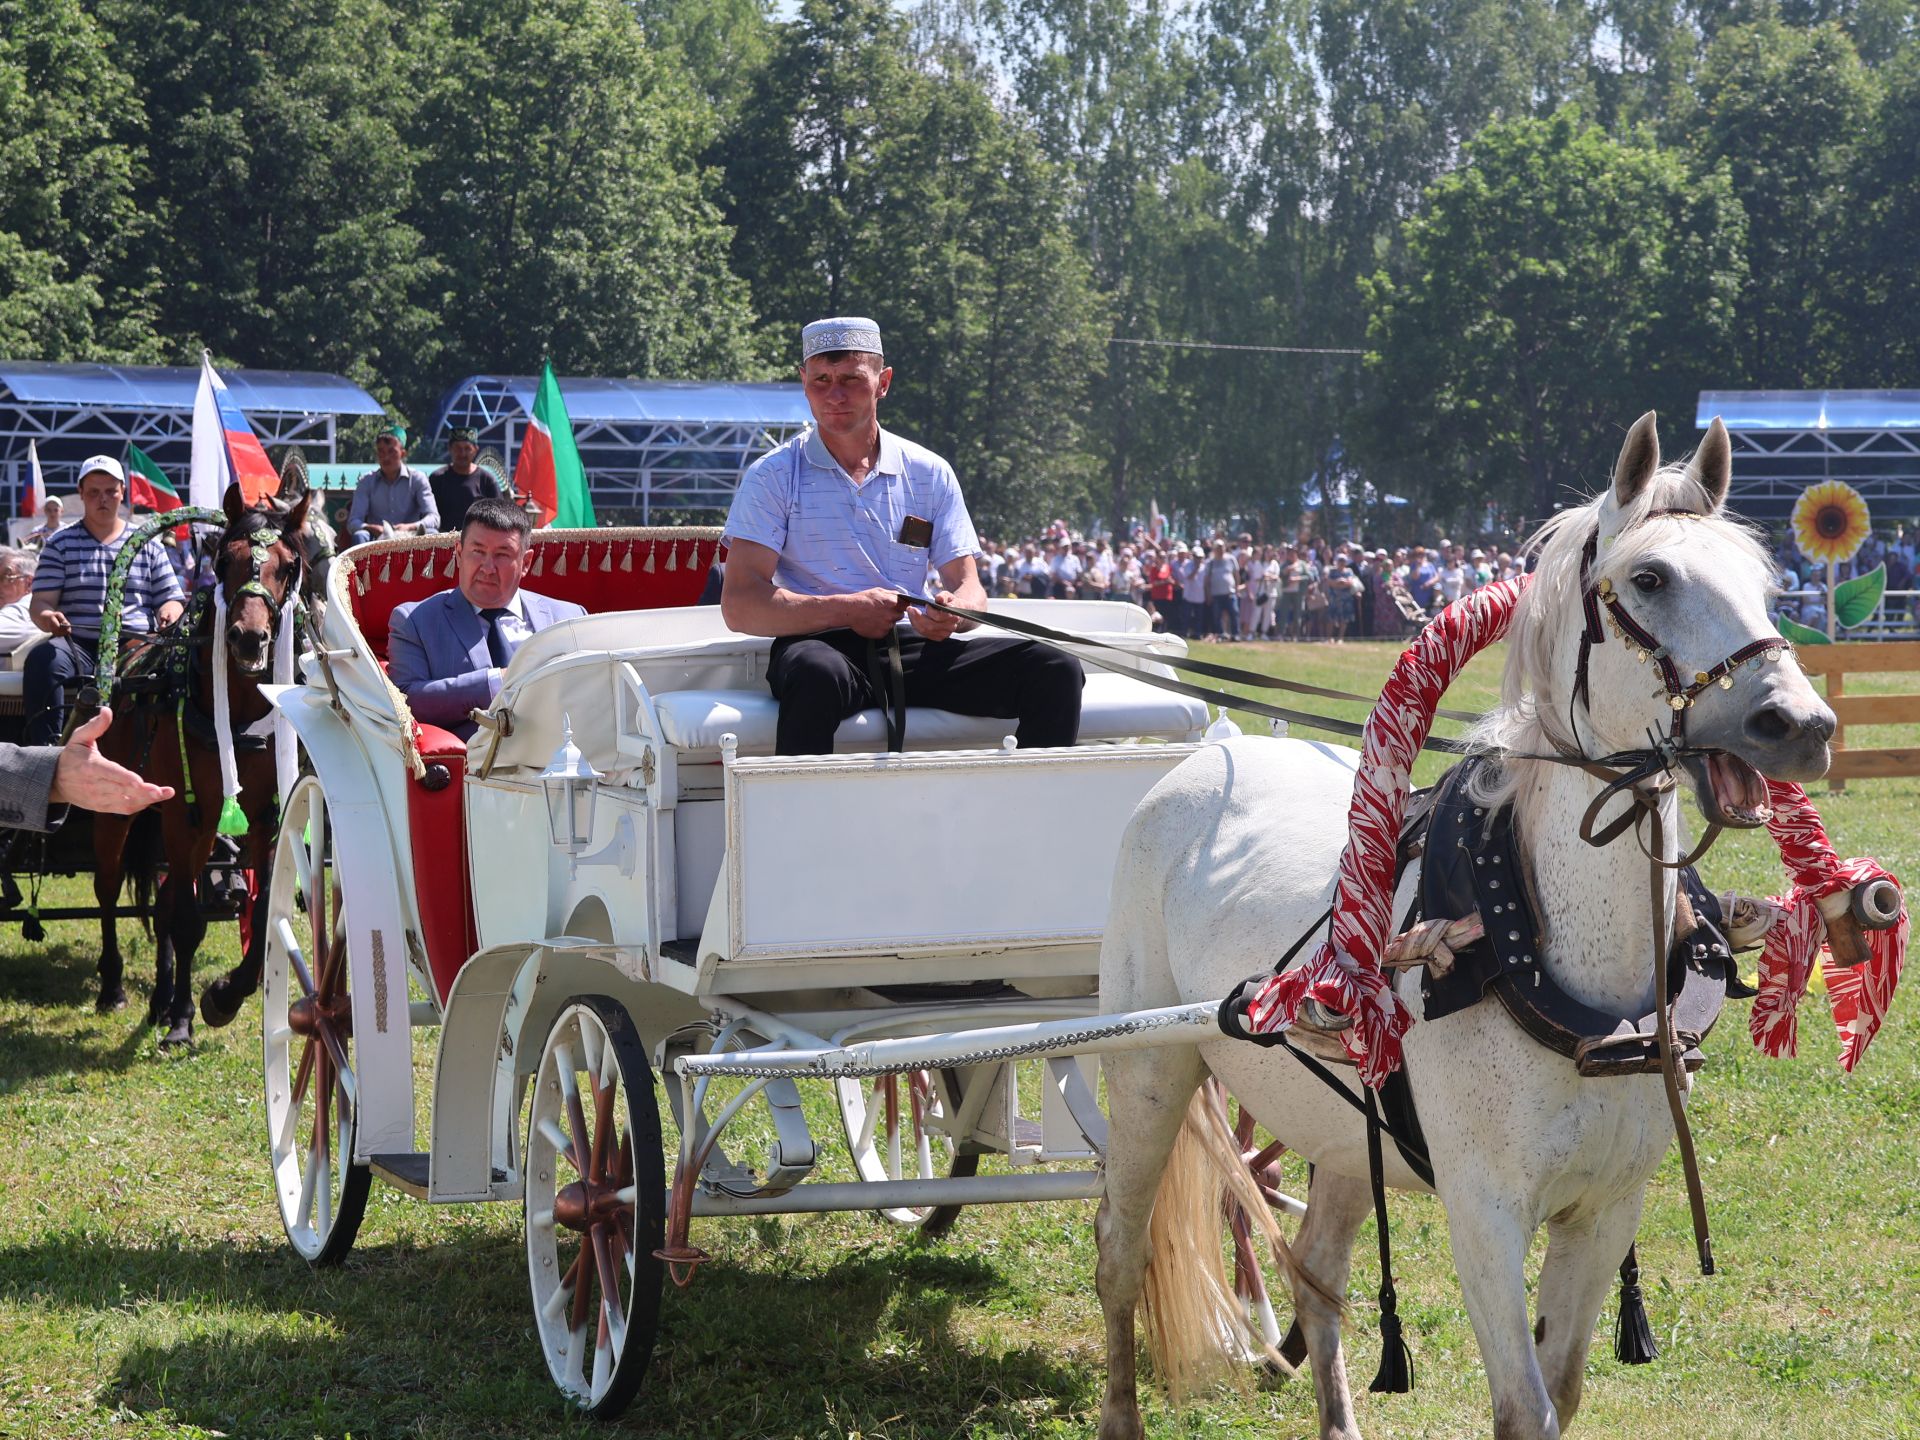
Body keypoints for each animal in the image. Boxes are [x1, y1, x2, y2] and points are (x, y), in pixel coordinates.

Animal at [94, 485, 316, 1052]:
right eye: (223, 561)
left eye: (288, 567)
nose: (248, 639)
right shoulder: (186, 815)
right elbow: (188, 920)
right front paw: (184, 1018)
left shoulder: (266, 813)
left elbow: (262, 911)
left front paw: (223, 995)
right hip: (118, 808)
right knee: (111, 888)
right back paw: (115, 987)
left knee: (165, 901)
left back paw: (159, 998)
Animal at [1098, 410, 1827, 1436]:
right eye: (1651, 578)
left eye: (1768, 588)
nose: (1801, 725)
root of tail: (1213, 757)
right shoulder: (1484, 1213)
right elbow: (1525, 1406)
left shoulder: (1607, 1208)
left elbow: (1562, 1386)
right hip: (1149, 1075)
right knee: (1119, 1253)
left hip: (1341, 1132)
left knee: (1317, 1273)